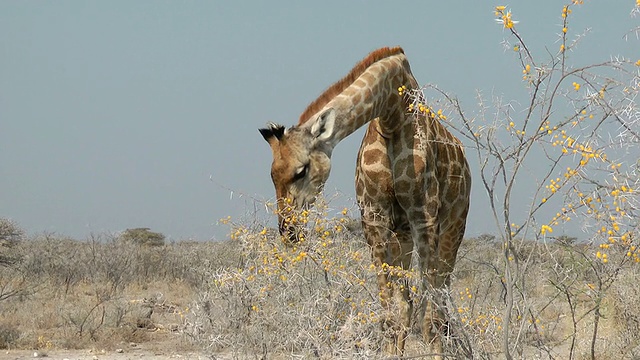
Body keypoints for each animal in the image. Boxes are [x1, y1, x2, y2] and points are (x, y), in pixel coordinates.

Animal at [258, 45, 472, 358]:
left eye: (301, 171)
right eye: (272, 176)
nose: (289, 232)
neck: (392, 115)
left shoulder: (424, 217)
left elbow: (429, 318)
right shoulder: (374, 218)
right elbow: (390, 314)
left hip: (453, 226)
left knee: (441, 305)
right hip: (401, 235)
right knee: (407, 304)